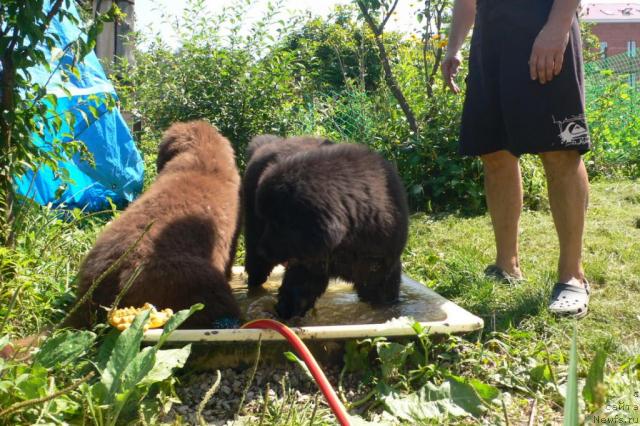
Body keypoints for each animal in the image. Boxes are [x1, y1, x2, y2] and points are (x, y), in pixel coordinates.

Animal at [251, 143, 408, 320]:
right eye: (267, 221)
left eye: (279, 224)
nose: (262, 250)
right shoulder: (307, 266)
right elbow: (295, 293)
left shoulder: (381, 270)